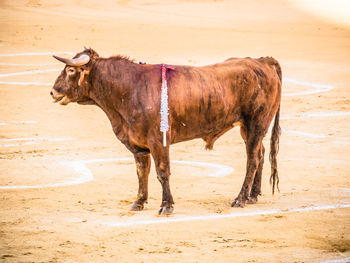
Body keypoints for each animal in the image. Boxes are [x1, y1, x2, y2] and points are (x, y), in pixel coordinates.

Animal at [51, 48, 282, 216]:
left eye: (70, 70)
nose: (53, 92)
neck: (130, 88)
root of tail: (263, 61)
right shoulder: (138, 145)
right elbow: (141, 172)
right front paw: (139, 202)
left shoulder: (158, 140)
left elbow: (162, 171)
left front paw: (166, 206)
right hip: (248, 128)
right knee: (260, 154)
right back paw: (253, 196)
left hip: (257, 123)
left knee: (252, 159)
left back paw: (240, 199)